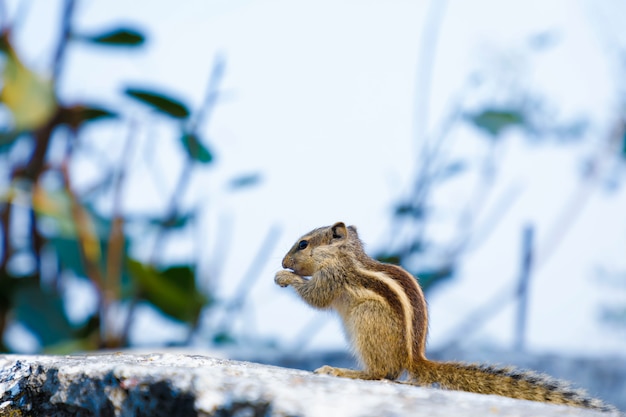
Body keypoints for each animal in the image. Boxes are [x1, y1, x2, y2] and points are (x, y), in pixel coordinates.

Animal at [274, 221, 616, 410]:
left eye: (302, 244)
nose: (283, 261)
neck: (345, 256)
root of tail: (414, 359)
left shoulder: (334, 277)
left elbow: (316, 297)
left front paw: (284, 277)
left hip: (367, 317)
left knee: (383, 373)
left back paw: (342, 370)